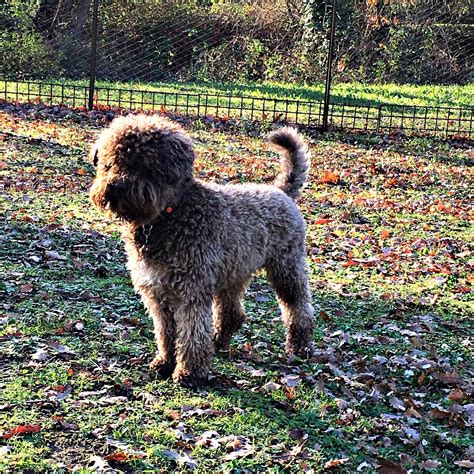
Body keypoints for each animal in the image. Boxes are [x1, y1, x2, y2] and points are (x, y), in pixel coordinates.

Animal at [90, 115, 316, 388]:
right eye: (110, 162)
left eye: (143, 164)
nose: (114, 188)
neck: (170, 214)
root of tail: (282, 192)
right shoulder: (157, 292)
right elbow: (166, 332)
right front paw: (164, 362)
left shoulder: (191, 291)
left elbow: (192, 334)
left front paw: (189, 373)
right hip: (234, 272)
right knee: (232, 313)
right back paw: (218, 342)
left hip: (286, 268)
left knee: (298, 308)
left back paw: (300, 347)